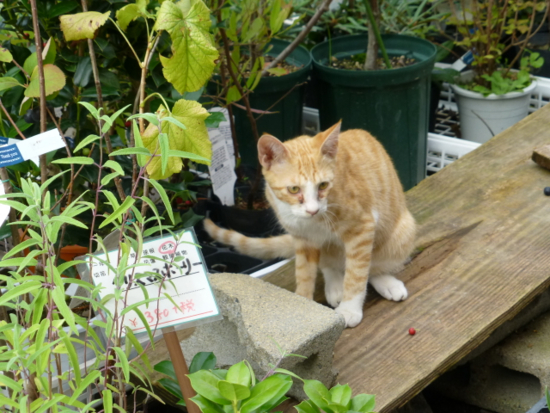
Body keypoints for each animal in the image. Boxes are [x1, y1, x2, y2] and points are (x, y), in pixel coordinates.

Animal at [205, 120, 416, 326]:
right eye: (293, 189)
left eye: (323, 185)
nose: (313, 210)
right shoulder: (303, 240)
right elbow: (304, 273)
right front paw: (304, 304)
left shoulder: (362, 228)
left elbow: (356, 274)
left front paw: (350, 309)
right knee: (330, 264)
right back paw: (335, 285)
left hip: (401, 234)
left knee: (372, 266)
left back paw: (385, 283)